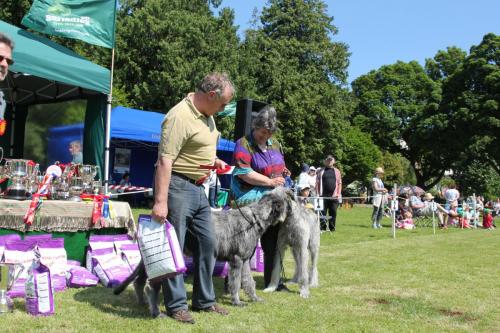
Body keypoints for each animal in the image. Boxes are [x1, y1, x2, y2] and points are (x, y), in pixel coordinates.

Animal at [114, 185, 292, 316]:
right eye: (289, 198)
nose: (295, 206)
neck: (255, 218)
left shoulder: (245, 260)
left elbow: (249, 281)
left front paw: (254, 298)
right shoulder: (237, 260)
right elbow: (235, 282)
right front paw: (236, 301)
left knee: (139, 281)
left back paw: (142, 301)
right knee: (150, 286)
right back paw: (155, 310)